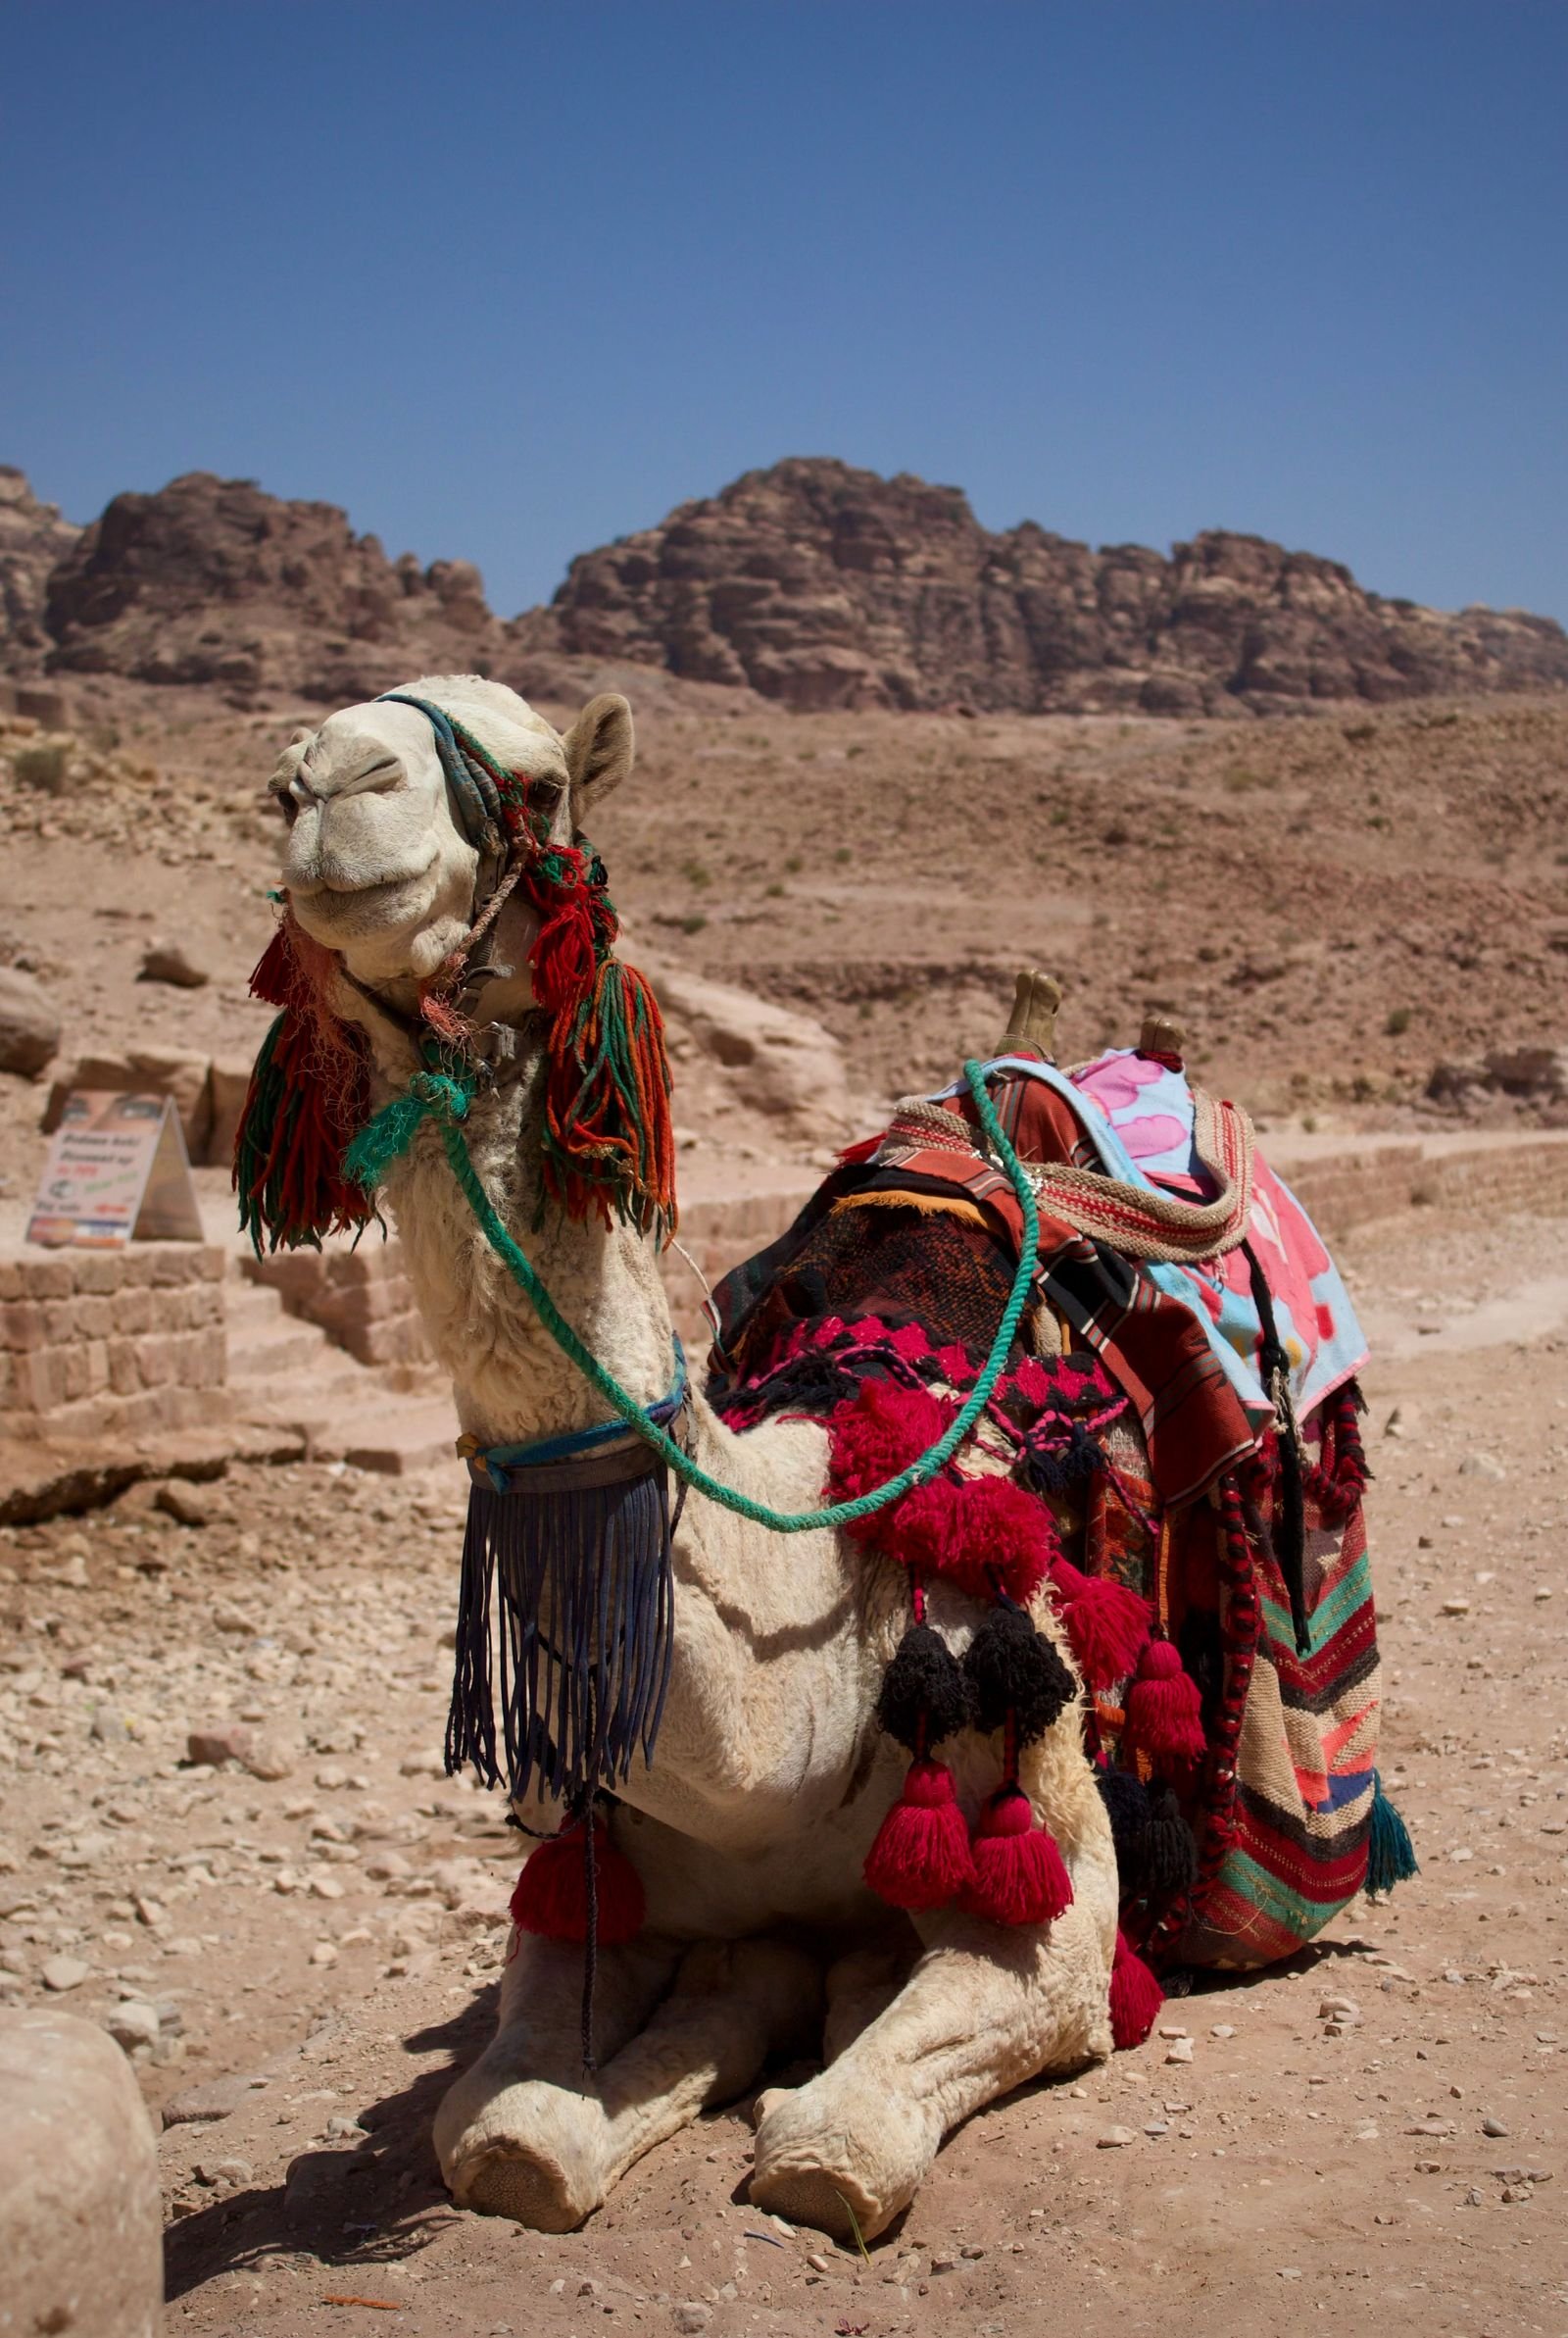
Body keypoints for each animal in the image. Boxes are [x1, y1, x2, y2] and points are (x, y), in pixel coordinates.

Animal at [257, 674, 1133, 2240]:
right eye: (278, 785)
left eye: (540, 783)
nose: (327, 782)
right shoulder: (598, 1874)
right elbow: (501, 2126)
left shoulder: (1060, 1909)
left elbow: (838, 2140)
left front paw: (818, 2101)